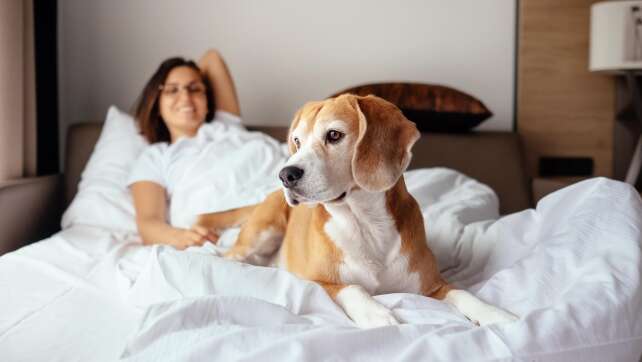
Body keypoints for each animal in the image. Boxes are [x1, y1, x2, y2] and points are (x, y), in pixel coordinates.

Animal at [198, 94, 516, 328]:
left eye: (334, 135)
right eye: (297, 141)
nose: (286, 174)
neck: (364, 223)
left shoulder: (433, 286)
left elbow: (464, 293)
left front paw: (496, 314)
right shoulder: (318, 282)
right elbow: (353, 288)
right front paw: (376, 313)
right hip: (261, 232)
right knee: (229, 256)